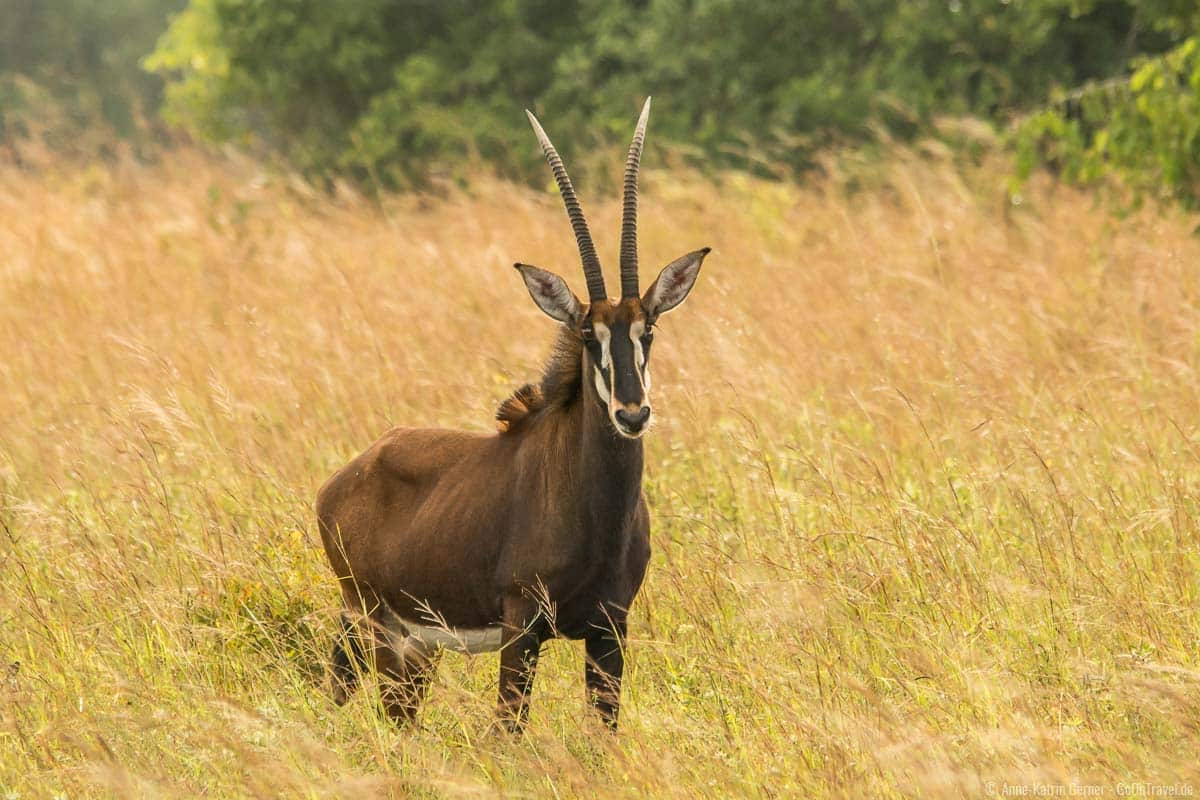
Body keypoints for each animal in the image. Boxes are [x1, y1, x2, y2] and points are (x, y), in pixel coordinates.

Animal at [321, 98, 710, 734]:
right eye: (588, 335)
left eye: (647, 330)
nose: (632, 413)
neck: (595, 509)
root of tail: (346, 476)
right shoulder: (520, 625)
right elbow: (508, 729)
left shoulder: (611, 627)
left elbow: (604, 733)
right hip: (377, 622)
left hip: (411, 642)